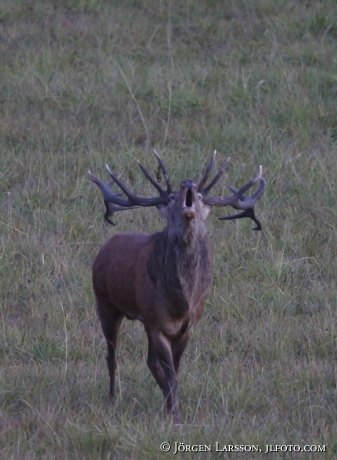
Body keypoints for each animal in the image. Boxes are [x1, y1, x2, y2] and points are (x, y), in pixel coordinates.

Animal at [88, 151, 266, 424]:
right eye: (171, 198)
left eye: (201, 197)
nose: (188, 183)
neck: (181, 301)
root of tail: (104, 249)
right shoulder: (156, 322)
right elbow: (170, 374)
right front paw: (175, 416)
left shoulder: (186, 326)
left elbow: (175, 370)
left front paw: (170, 408)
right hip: (105, 303)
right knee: (112, 355)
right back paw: (111, 399)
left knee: (149, 361)